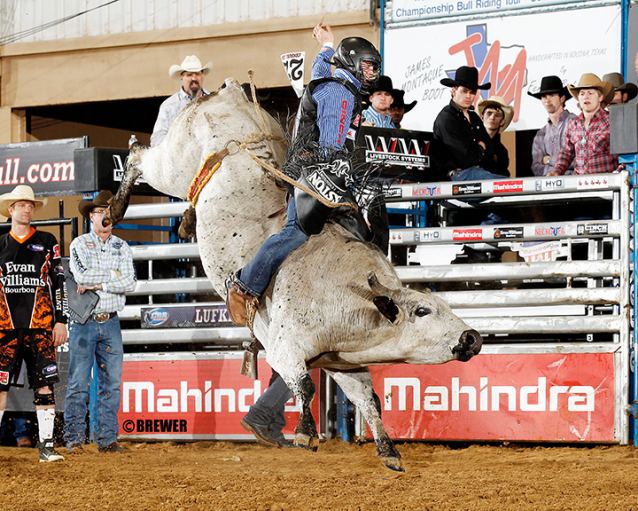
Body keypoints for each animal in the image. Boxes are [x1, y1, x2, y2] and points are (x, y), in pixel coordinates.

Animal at [107, 78, 482, 474]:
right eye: (422, 311)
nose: (472, 337)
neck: (353, 298)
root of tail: (229, 93)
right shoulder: (284, 348)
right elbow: (305, 386)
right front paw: (305, 433)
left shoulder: (344, 362)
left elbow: (369, 400)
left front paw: (388, 451)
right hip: (173, 164)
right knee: (138, 157)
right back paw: (115, 207)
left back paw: (185, 221)